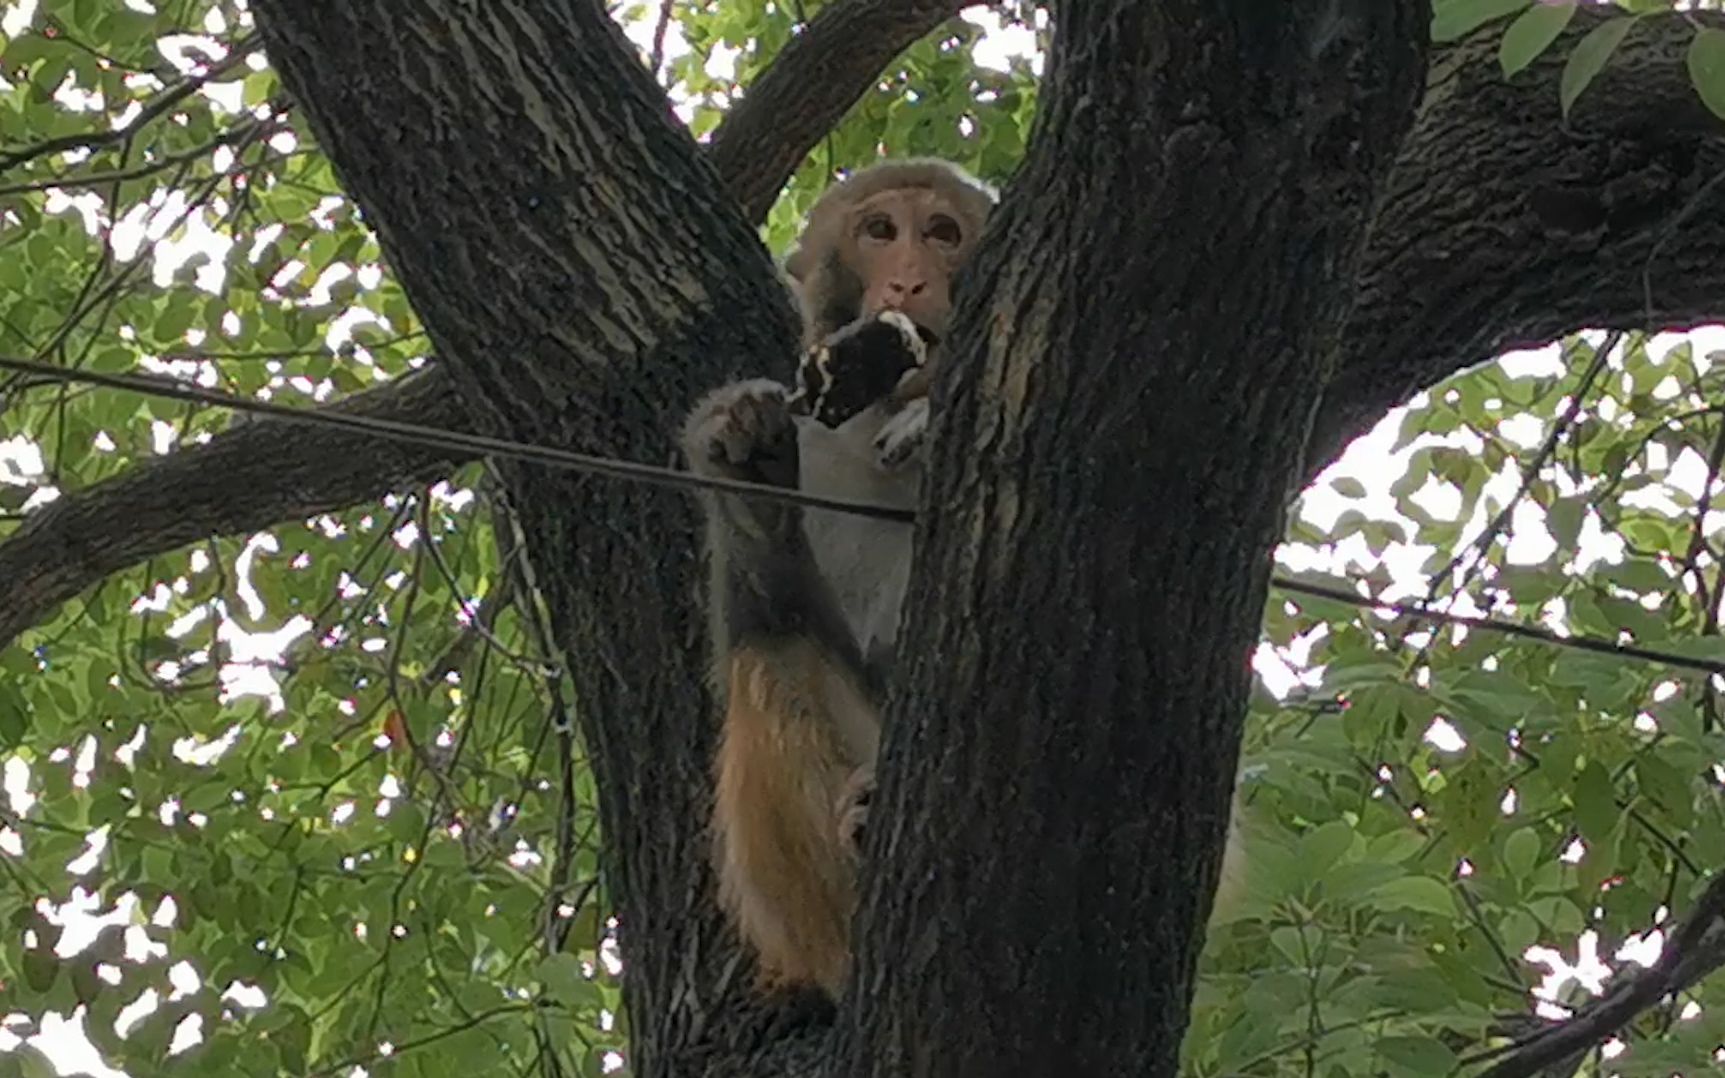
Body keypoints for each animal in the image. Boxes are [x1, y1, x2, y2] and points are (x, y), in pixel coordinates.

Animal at [679, 155, 1248, 993]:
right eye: (880, 230)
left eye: (941, 233)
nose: (908, 279)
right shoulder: (817, 442)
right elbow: (763, 619)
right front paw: (744, 457)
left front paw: (929, 421)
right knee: (773, 653)